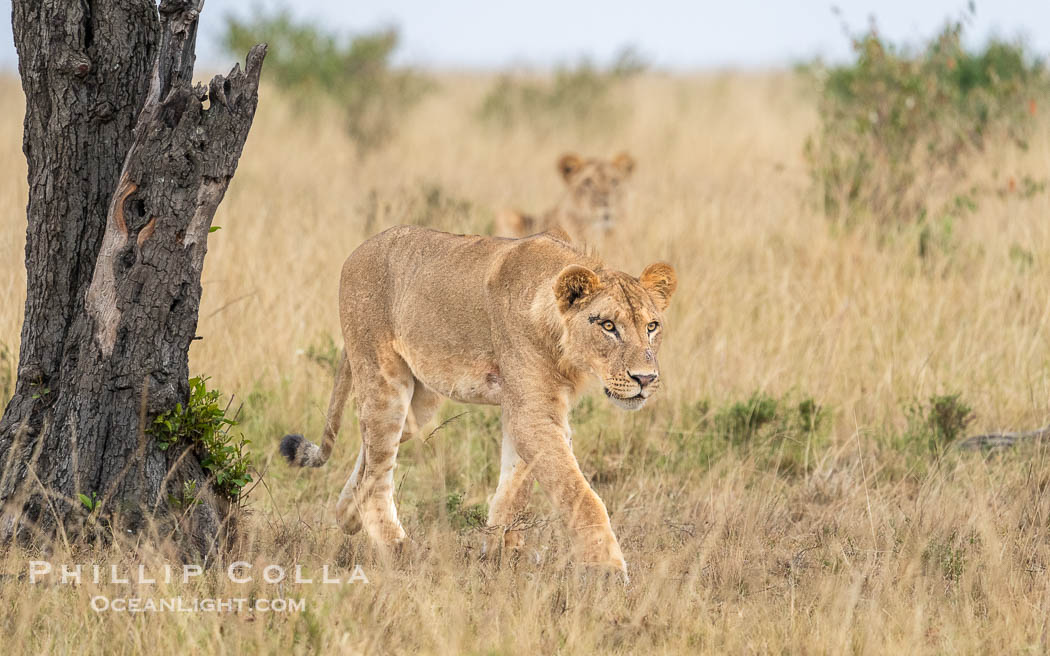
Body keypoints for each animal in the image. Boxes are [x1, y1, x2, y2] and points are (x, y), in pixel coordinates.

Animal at [280, 225, 676, 577]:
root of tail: (358, 250)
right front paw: (607, 570)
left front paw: (502, 552)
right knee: (378, 472)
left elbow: (515, 488)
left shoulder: (532, 410)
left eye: (652, 327)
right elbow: (579, 493)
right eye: (608, 326)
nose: (645, 379)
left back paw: (347, 516)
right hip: (384, 381)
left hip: (419, 403)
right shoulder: (531, 414)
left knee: (369, 459)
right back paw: (397, 548)